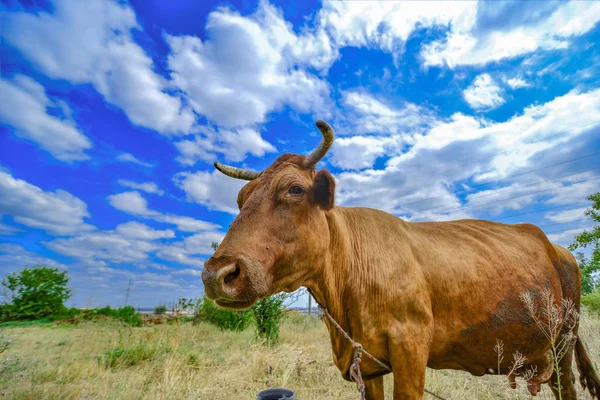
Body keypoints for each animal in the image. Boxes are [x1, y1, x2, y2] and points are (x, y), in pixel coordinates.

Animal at [203, 120, 600, 398]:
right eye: (240, 198)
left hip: (563, 343)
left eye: (295, 189)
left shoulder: (411, 352)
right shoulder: (368, 365)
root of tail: (557, 247)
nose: (216, 274)